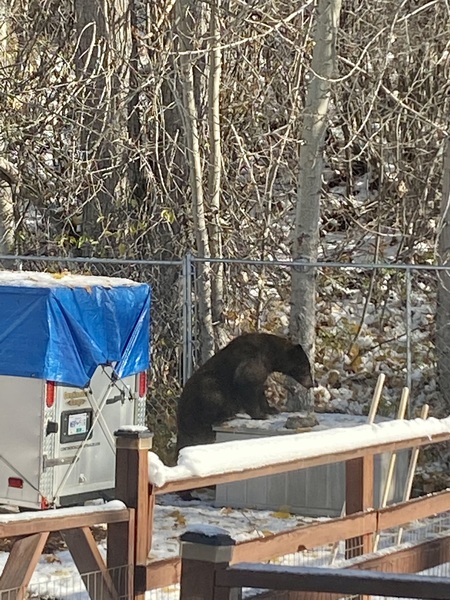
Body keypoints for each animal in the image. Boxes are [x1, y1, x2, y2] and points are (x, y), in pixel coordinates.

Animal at [176, 332, 312, 450]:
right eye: (306, 368)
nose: (312, 384)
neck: (269, 354)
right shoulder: (252, 360)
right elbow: (246, 383)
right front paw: (261, 415)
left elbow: (260, 390)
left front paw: (272, 409)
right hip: (206, 389)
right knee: (213, 397)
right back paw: (226, 416)